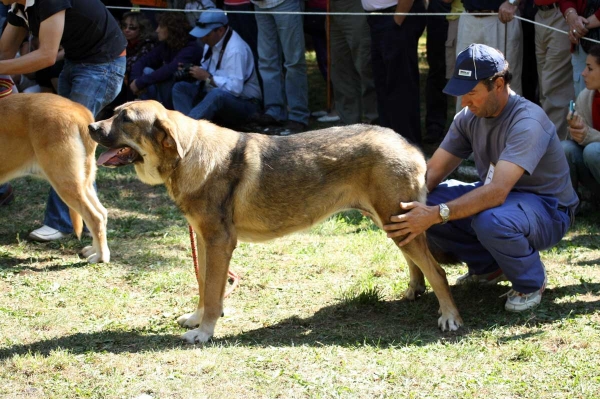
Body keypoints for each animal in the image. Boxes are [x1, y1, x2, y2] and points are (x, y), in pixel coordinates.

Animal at [0, 92, 109, 264]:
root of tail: (78, 110)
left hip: (64, 181)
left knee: (95, 217)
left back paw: (100, 257)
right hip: (82, 183)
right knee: (102, 213)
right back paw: (93, 250)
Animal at [90, 100, 464, 344]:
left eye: (125, 118)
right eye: (114, 111)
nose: (91, 127)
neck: (188, 157)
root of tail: (410, 145)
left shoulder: (220, 243)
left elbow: (212, 293)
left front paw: (204, 332)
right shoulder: (206, 241)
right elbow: (204, 288)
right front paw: (197, 320)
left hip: (394, 222)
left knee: (437, 271)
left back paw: (450, 317)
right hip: (391, 224)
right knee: (417, 264)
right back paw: (413, 291)